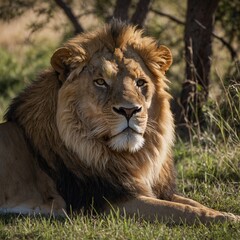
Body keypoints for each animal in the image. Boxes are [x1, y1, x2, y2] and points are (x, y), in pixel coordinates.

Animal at [0, 19, 239, 224]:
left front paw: (226, 213)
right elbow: (181, 210)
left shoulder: (154, 189)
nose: (129, 110)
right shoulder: (109, 202)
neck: (129, 157)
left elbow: (192, 203)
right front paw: (228, 219)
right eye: (100, 82)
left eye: (140, 82)